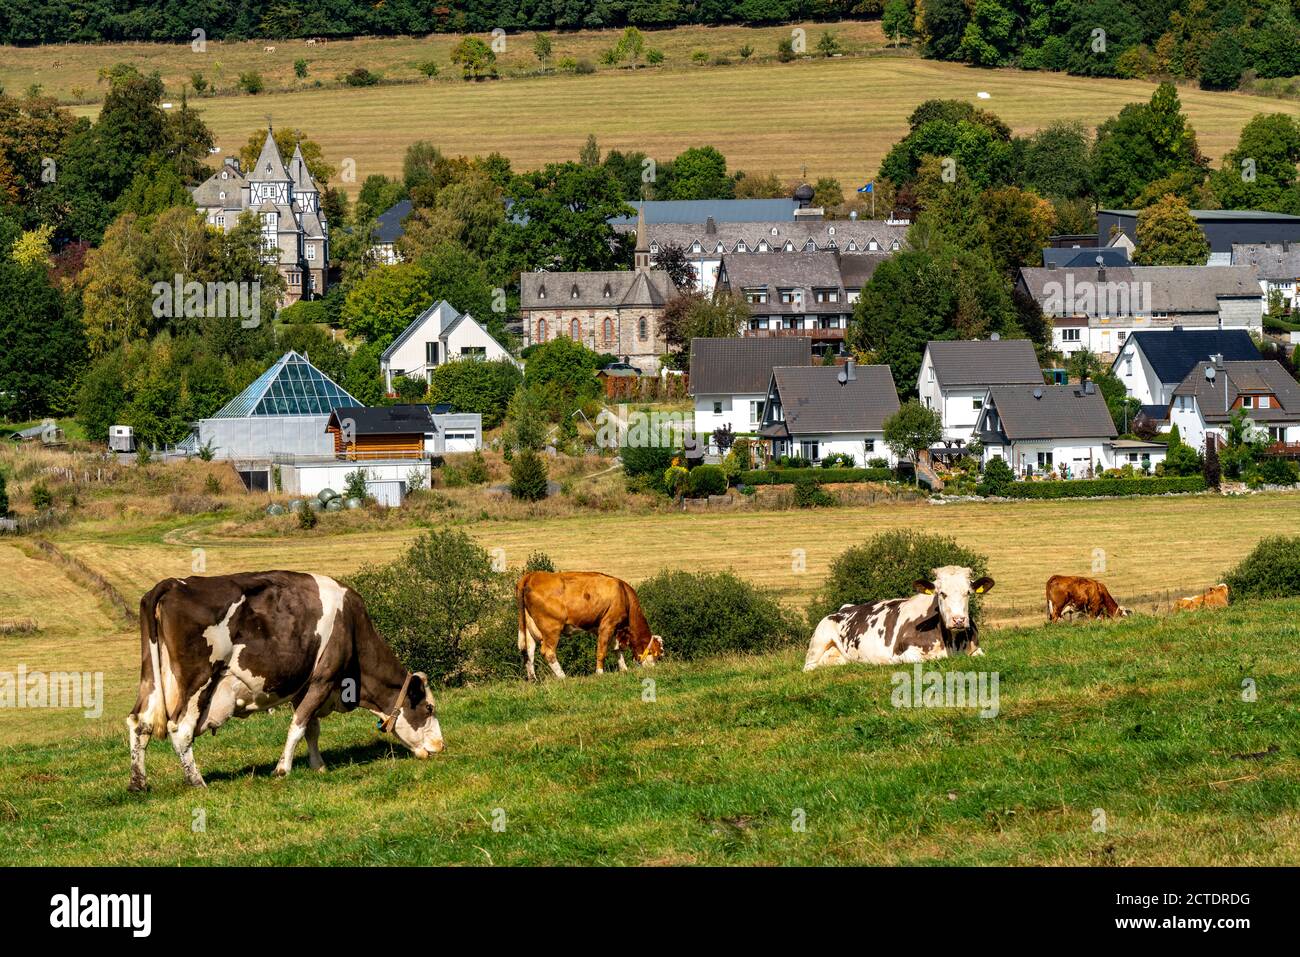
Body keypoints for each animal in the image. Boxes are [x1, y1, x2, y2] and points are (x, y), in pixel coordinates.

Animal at [128, 572, 441, 790]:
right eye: (429, 708)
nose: (440, 747)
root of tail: (173, 584)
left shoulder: (305, 686)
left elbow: (312, 728)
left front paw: (318, 765)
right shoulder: (324, 678)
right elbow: (299, 726)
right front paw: (282, 770)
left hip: (152, 679)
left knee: (139, 723)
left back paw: (138, 784)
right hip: (197, 683)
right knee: (180, 730)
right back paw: (197, 782)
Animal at [514, 566, 665, 681]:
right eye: (658, 655)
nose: (655, 670)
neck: (624, 595)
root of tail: (532, 575)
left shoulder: (613, 629)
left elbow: (617, 650)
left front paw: (624, 669)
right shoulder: (607, 624)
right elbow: (601, 651)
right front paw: (600, 673)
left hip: (529, 627)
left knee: (528, 652)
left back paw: (533, 679)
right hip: (551, 628)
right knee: (548, 651)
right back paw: (563, 677)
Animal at [800, 564, 993, 670]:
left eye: (968, 592)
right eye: (941, 593)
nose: (958, 620)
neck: (951, 643)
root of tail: (843, 608)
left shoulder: (977, 649)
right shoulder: (902, 653)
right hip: (819, 638)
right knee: (809, 666)